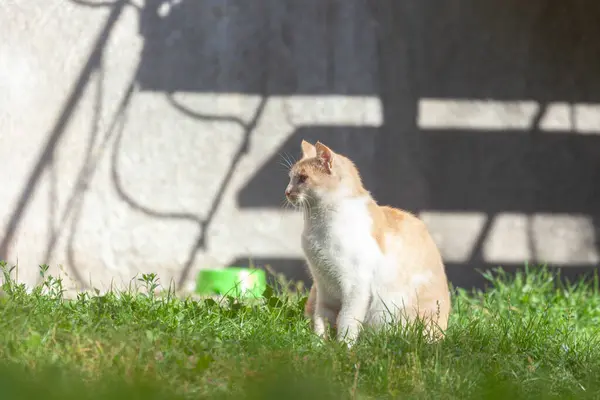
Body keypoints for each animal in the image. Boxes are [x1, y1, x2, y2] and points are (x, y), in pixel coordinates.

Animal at [286, 141, 450, 346]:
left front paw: (343, 347)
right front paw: (318, 345)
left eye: (302, 178)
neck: (317, 225)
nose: (287, 192)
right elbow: (320, 319)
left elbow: (347, 320)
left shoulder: (355, 286)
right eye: (290, 178)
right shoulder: (323, 287)